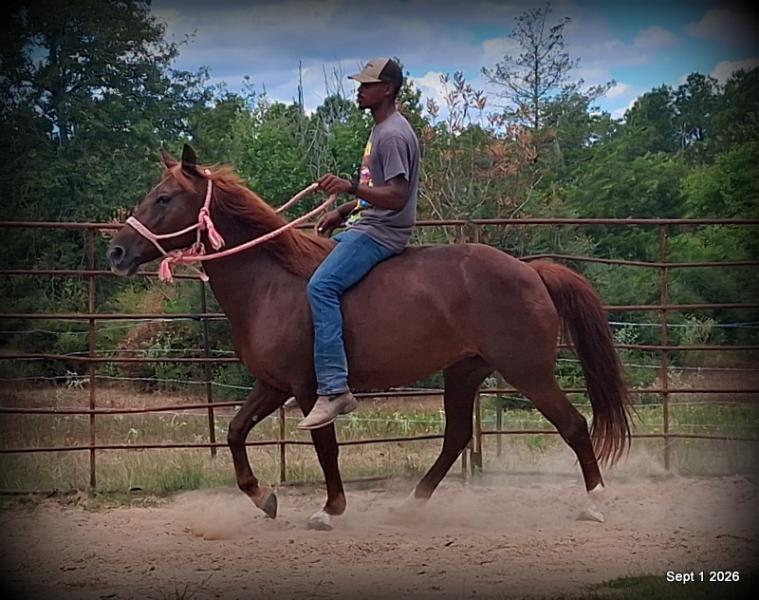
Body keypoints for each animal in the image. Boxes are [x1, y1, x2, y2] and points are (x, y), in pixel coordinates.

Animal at [107, 145, 631, 529]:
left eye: (164, 198)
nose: (116, 252)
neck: (270, 281)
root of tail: (530, 270)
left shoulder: (310, 389)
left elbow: (326, 447)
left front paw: (329, 509)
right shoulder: (273, 384)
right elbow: (236, 431)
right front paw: (263, 497)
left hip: (528, 371)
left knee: (574, 425)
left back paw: (593, 502)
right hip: (464, 372)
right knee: (457, 437)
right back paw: (412, 504)